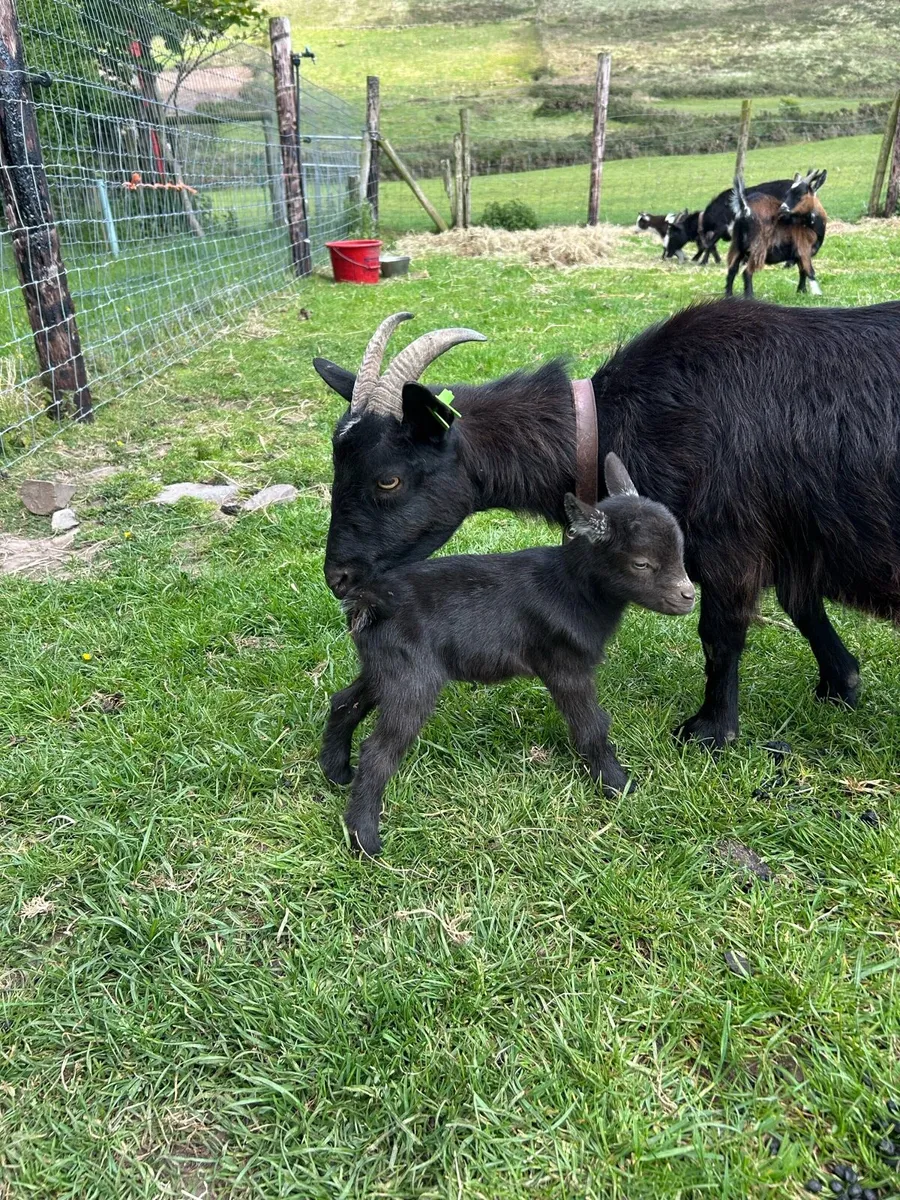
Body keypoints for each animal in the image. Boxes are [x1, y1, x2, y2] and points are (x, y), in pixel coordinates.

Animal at [314, 302, 900, 749]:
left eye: (388, 479)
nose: (338, 577)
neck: (619, 420)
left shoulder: (732, 544)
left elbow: (720, 636)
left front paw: (712, 731)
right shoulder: (793, 539)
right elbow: (802, 605)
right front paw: (841, 684)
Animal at [321, 453, 695, 856]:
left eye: (680, 550)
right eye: (641, 563)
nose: (689, 596)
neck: (573, 587)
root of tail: (367, 601)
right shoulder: (566, 663)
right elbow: (591, 725)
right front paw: (618, 785)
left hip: (386, 666)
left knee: (344, 702)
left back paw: (335, 772)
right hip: (413, 679)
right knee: (377, 751)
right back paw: (364, 838)